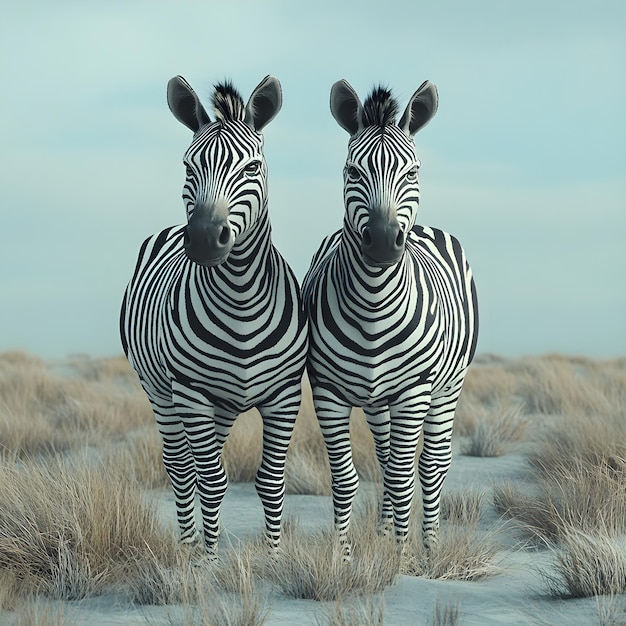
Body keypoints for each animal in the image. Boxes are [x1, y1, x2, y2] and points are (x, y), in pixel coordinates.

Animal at [119, 74, 308, 556]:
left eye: (252, 168)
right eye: (189, 169)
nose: (204, 238)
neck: (241, 298)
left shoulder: (285, 394)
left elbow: (271, 481)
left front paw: (274, 556)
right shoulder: (190, 391)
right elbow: (211, 480)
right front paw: (208, 560)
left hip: (220, 405)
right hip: (161, 390)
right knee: (180, 466)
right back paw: (188, 545)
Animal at [302, 79, 478, 556]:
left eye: (413, 173)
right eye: (352, 172)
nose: (382, 242)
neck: (373, 307)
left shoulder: (414, 389)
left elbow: (403, 478)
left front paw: (401, 559)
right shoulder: (326, 390)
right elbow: (345, 479)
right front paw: (344, 558)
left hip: (446, 386)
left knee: (432, 464)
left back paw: (429, 546)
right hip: (377, 399)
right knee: (384, 456)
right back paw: (383, 534)